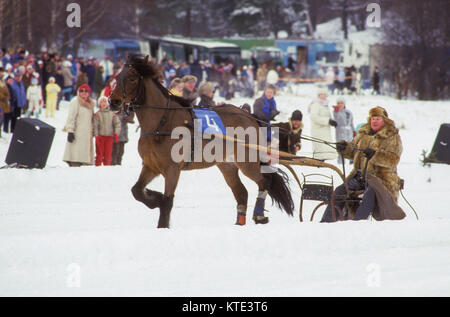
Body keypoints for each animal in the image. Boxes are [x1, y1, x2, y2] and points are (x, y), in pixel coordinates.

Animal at [107, 54, 294, 227]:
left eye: (132, 78)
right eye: (117, 77)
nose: (113, 101)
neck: (162, 123)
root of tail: (249, 116)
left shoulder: (172, 169)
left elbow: (167, 202)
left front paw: (161, 214)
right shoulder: (151, 166)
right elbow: (136, 191)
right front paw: (155, 198)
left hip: (247, 161)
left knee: (265, 181)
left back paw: (259, 215)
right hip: (226, 164)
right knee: (242, 192)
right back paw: (239, 222)